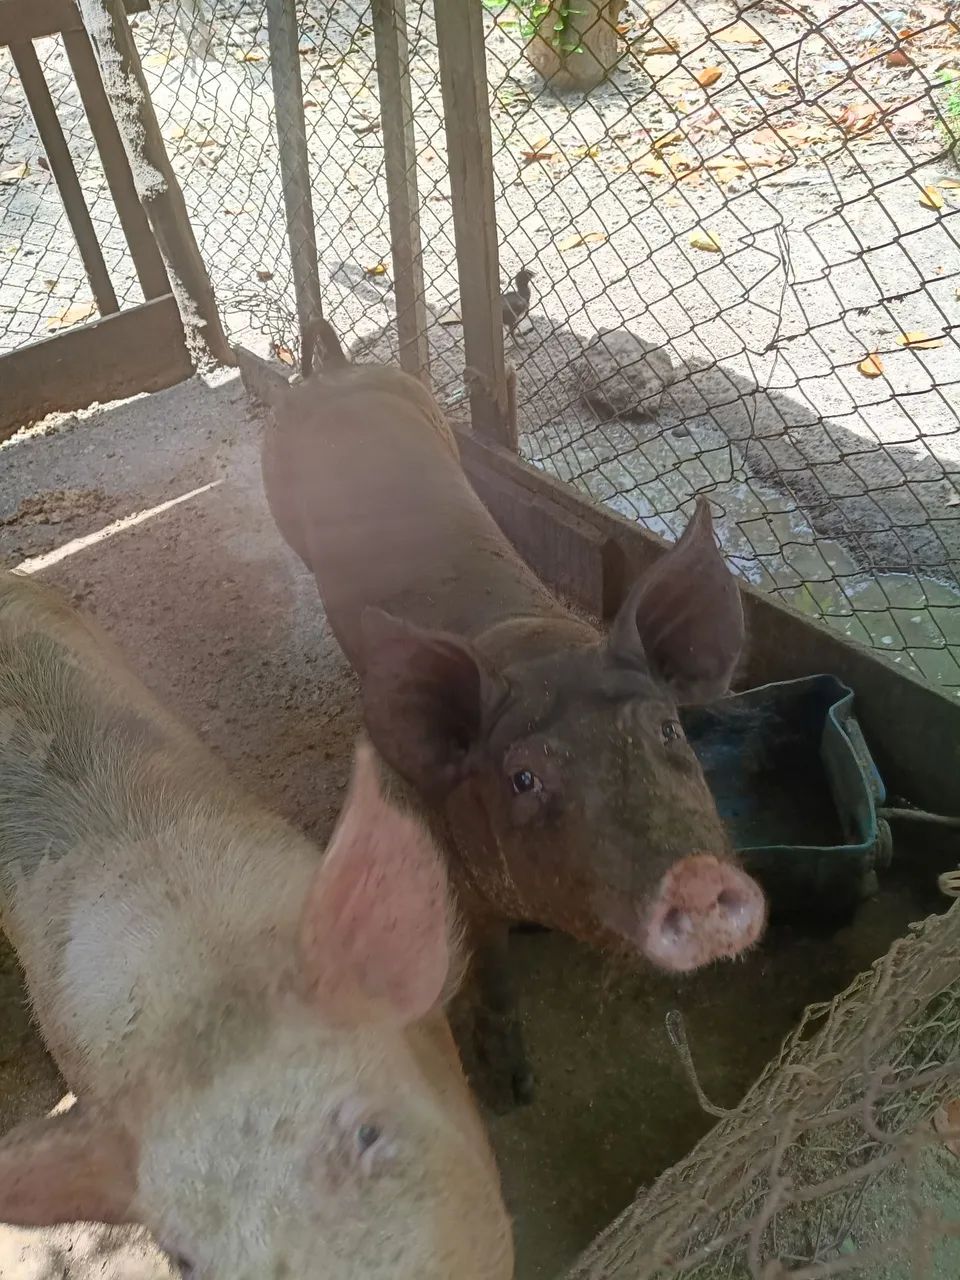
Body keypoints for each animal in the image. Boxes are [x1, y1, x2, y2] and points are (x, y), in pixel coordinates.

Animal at [260, 323, 767, 1107]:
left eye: (667, 728)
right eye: (523, 778)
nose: (695, 878)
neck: (535, 645)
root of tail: (334, 374)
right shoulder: (459, 877)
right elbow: (490, 967)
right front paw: (512, 1088)